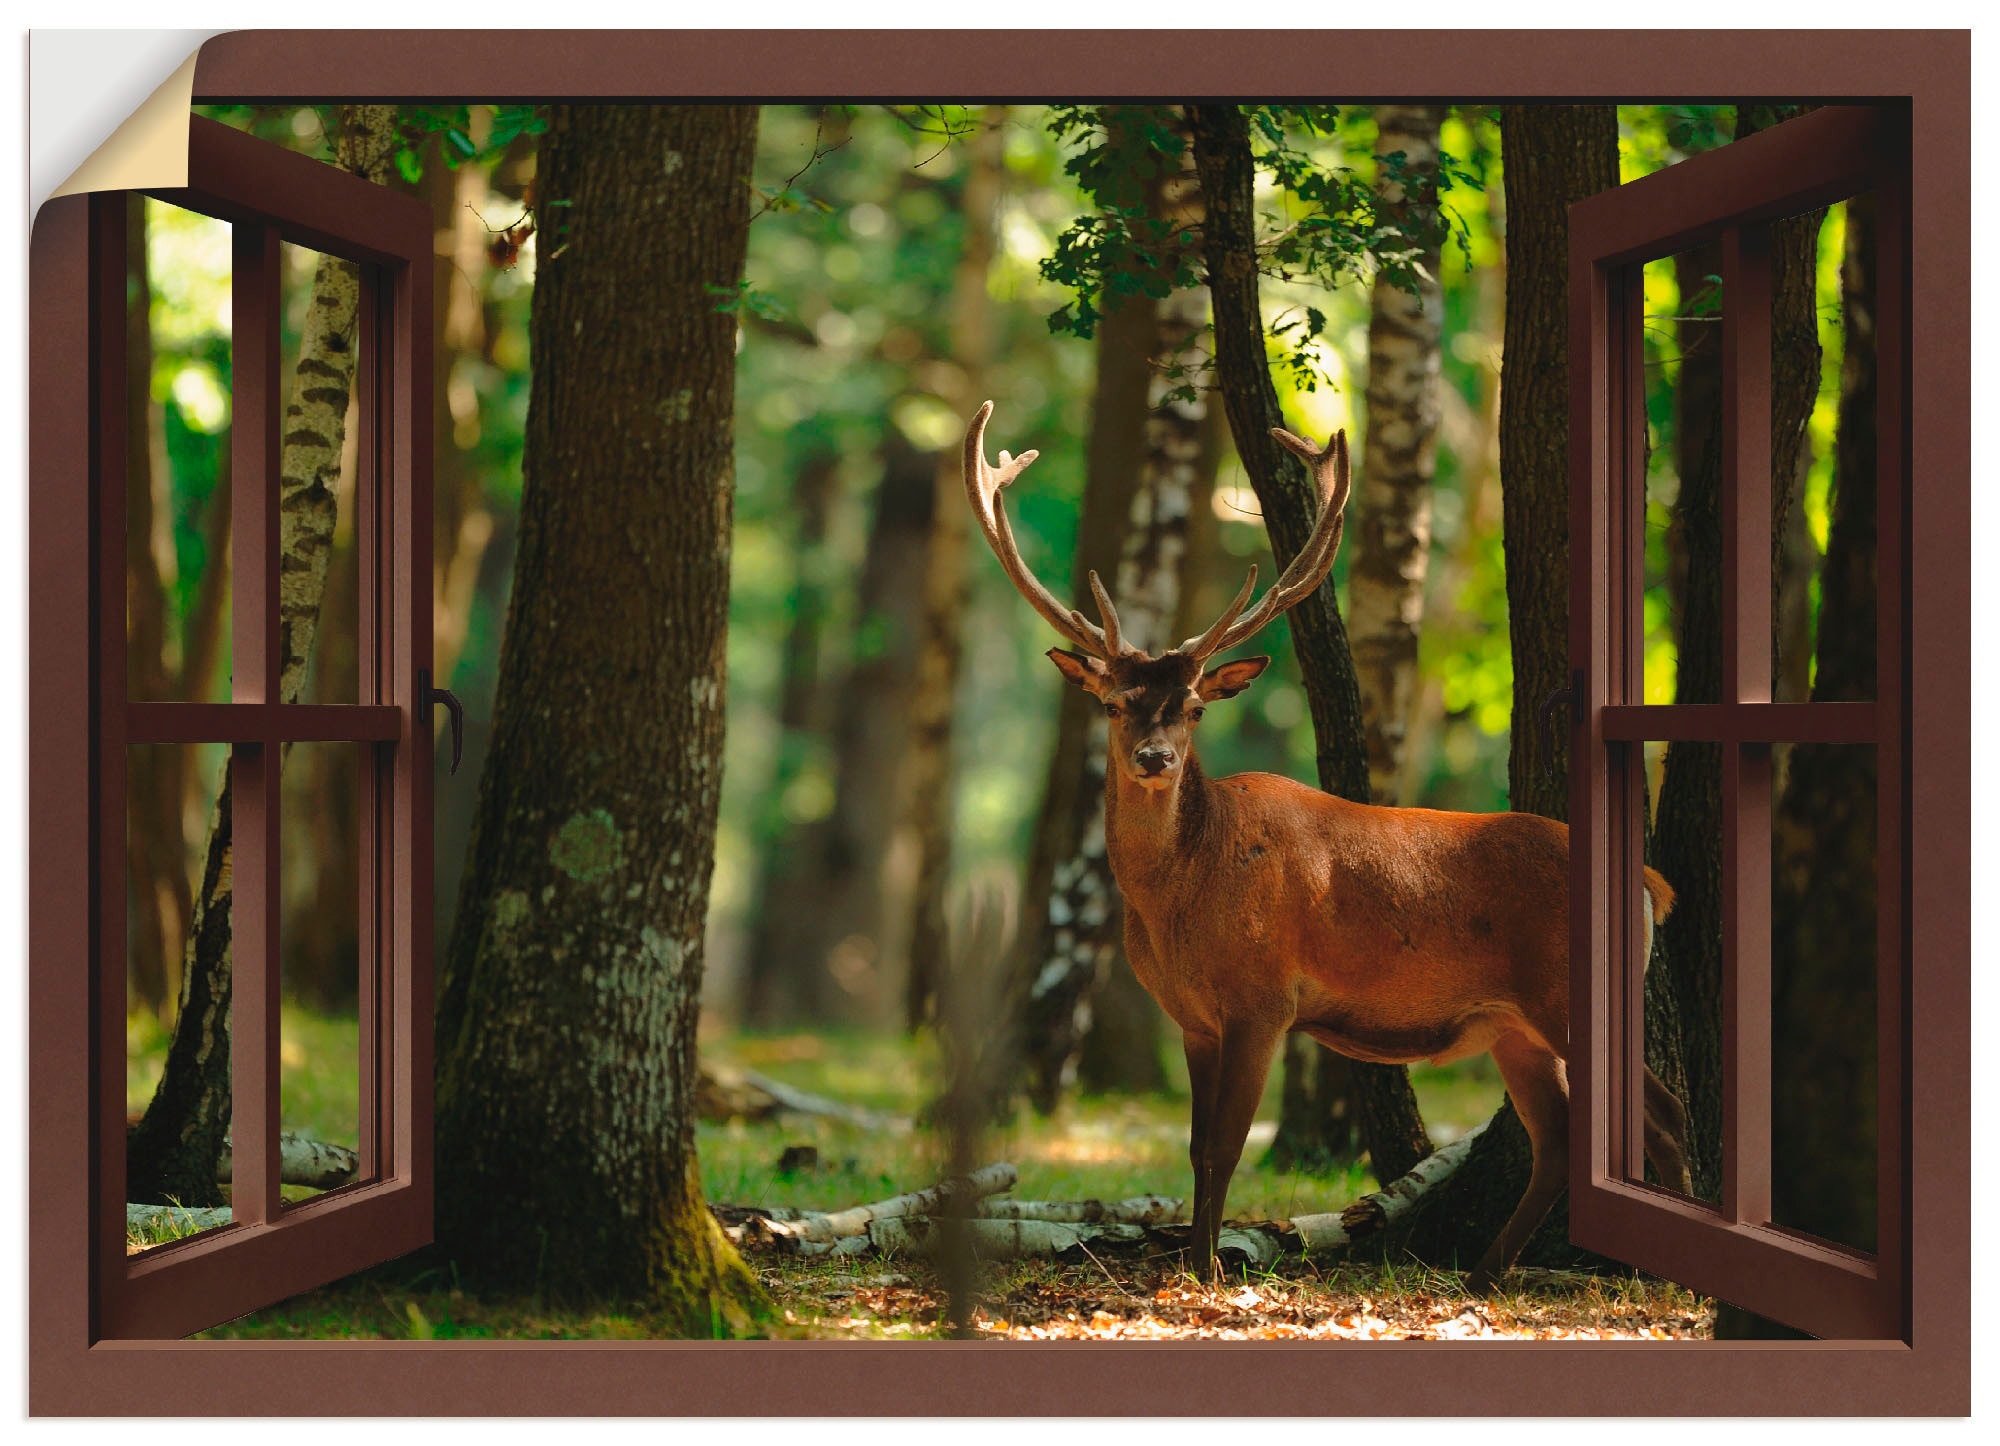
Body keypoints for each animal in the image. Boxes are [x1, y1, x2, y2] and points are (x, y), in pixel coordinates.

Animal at [968, 404, 1688, 1288]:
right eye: (1113, 702)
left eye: (1196, 707)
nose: (1155, 758)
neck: (1181, 896)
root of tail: (1653, 882)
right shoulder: (1194, 1019)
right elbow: (1198, 1149)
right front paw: (1196, 1265)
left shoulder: (1263, 999)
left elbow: (1228, 1147)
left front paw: (1208, 1272)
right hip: (1513, 1025)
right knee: (1557, 1137)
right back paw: (1486, 1272)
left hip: (1564, 992)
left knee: (1663, 1112)